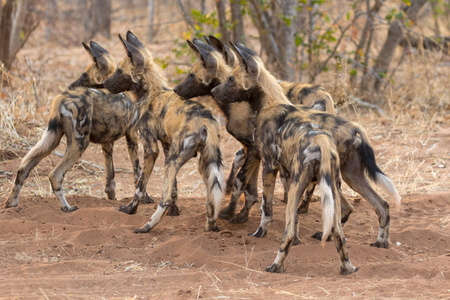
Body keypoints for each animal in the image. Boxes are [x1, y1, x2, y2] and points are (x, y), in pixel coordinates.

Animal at [3, 41, 151, 212]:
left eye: (84, 75)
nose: (71, 85)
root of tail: (61, 97)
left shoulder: (107, 144)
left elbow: (110, 179)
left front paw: (111, 199)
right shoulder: (132, 135)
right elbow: (138, 172)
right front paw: (145, 199)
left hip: (51, 140)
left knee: (23, 169)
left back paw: (11, 204)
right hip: (80, 143)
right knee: (55, 175)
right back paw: (67, 208)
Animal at [103, 30, 224, 232]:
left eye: (119, 71)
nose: (104, 82)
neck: (151, 92)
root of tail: (204, 121)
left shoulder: (151, 149)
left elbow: (140, 185)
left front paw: (130, 209)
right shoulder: (167, 145)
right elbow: (174, 188)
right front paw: (174, 212)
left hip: (174, 160)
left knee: (163, 198)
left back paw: (147, 227)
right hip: (204, 160)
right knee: (212, 196)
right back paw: (211, 226)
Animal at [211, 42, 358, 274]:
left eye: (231, 79)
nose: (213, 91)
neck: (269, 102)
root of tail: (322, 143)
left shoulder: (269, 166)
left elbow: (266, 208)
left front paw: (260, 233)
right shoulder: (286, 174)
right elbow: (295, 219)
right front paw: (299, 240)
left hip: (301, 183)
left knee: (286, 233)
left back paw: (275, 265)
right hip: (331, 188)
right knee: (339, 232)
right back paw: (347, 267)